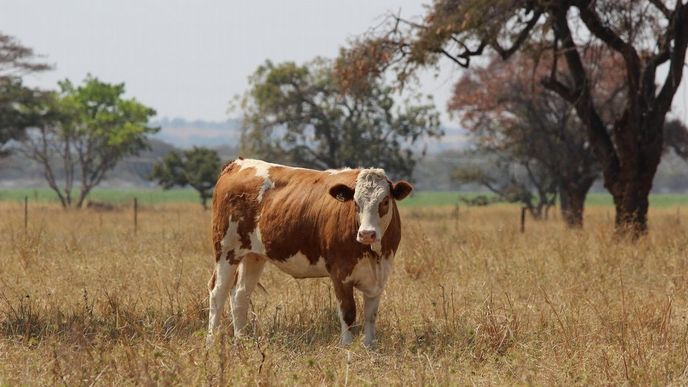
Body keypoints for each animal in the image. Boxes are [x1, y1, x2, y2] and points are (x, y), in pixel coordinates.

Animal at [206, 159, 414, 348]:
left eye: (385, 201)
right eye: (356, 203)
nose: (366, 233)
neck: (373, 253)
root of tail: (238, 163)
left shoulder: (379, 275)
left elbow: (371, 315)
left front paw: (370, 347)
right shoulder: (340, 274)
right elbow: (348, 313)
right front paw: (347, 348)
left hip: (253, 256)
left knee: (240, 295)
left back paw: (240, 340)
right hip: (226, 250)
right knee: (218, 292)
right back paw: (211, 341)